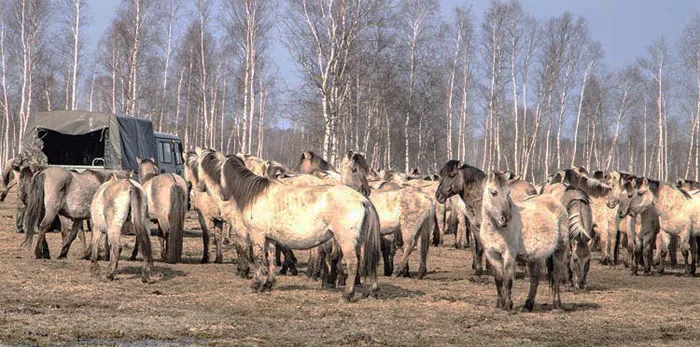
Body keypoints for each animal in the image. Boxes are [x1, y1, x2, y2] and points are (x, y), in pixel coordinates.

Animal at [482, 173, 568, 312]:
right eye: (494, 193)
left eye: (508, 193)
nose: (505, 219)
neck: (497, 229)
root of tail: (556, 203)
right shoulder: (491, 255)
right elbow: (498, 279)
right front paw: (499, 304)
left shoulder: (509, 255)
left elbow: (507, 280)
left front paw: (508, 305)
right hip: (534, 257)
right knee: (535, 278)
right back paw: (527, 305)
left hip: (560, 250)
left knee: (556, 276)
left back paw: (557, 304)